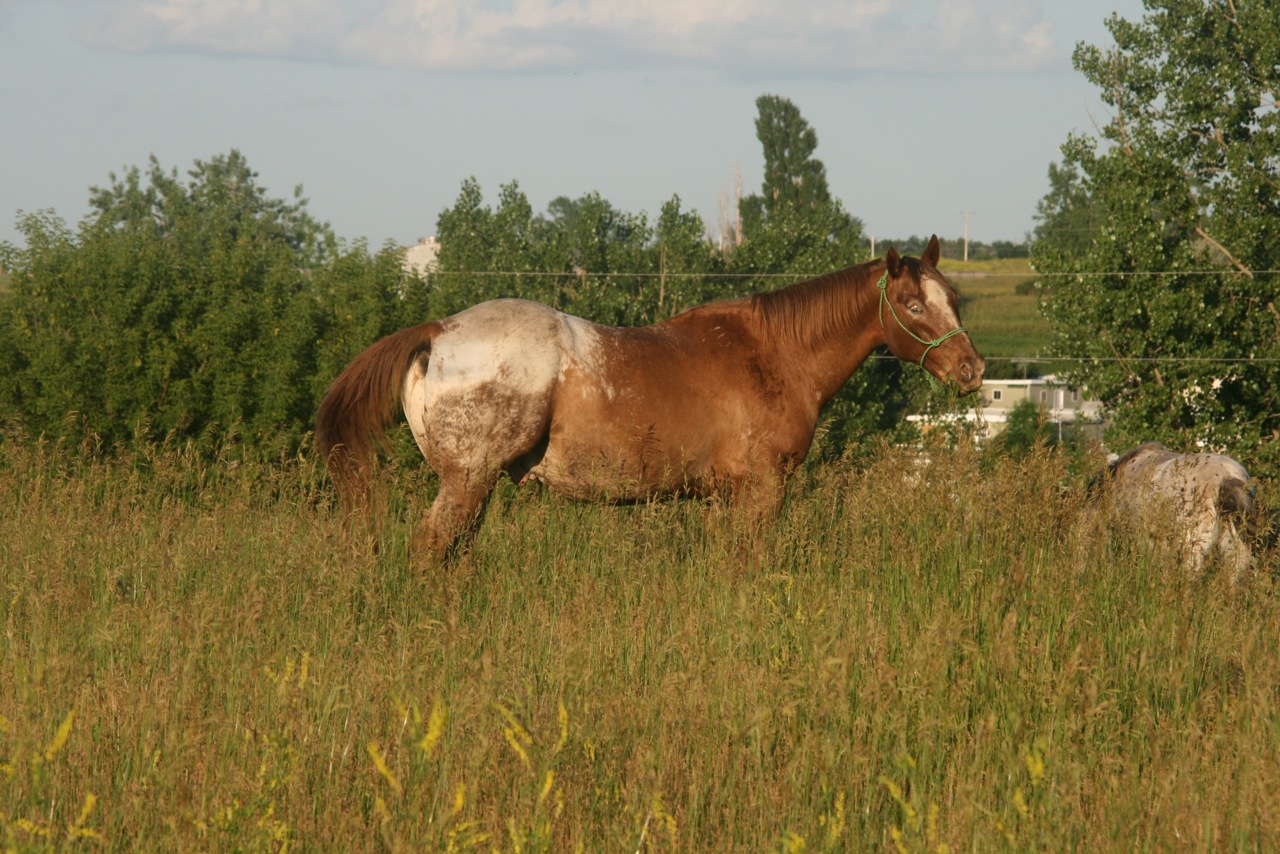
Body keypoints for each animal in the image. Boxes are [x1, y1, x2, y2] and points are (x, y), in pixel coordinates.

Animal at [316, 234, 985, 563]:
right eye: (913, 304)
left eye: (953, 296)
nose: (972, 369)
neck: (773, 354)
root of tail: (438, 330)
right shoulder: (763, 490)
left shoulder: (723, 497)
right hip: (467, 480)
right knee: (429, 552)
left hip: (473, 486)